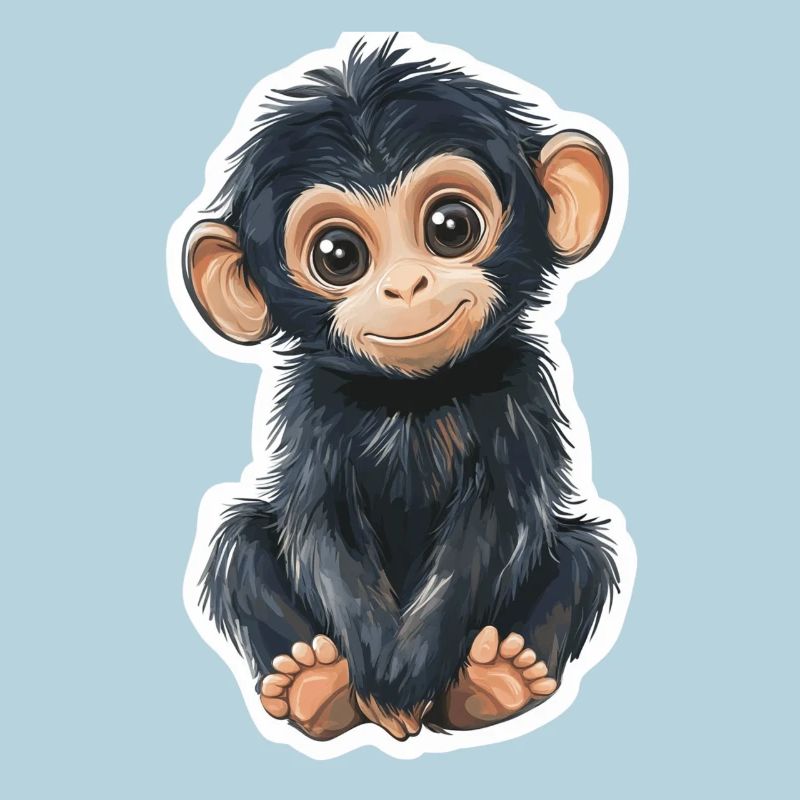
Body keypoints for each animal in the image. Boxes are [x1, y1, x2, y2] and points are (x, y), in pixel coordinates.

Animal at [181, 36, 622, 742]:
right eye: (338, 255)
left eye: (451, 226)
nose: (405, 285)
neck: (410, 398)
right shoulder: (313, 412)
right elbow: (319, 525)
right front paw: (379, 676)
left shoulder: (518, 393)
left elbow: (496, 524)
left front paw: (408, 672)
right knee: (240, 542)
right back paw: (315, 684)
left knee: (584, 556)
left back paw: (496, 682)